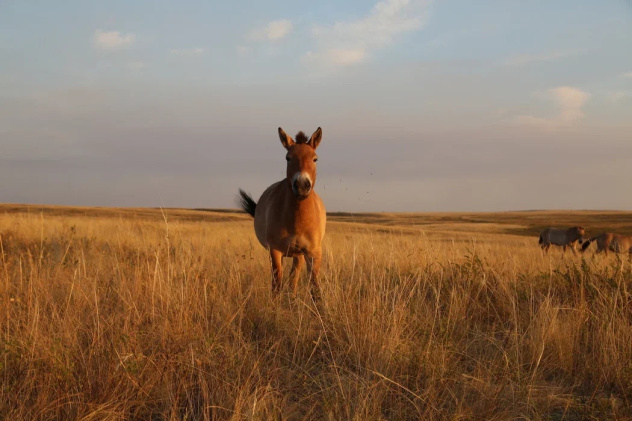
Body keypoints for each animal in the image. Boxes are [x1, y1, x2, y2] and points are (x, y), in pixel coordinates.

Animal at [237, 126, 326, 300]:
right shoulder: (275, 251)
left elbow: (315, 287)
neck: (298, 220)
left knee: (294, 279)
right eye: (288, 158)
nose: (302, 185)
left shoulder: (313, 253)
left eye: (315, 159)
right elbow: (277, 284)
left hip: (298, 255)